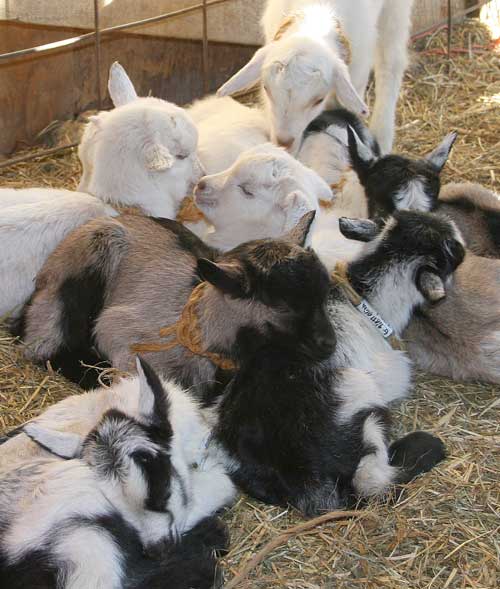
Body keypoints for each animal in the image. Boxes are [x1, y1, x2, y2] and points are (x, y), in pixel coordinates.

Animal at [216, 209, 464, 512]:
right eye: (454, 248)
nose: (451, 223)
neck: (368, 302)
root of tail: (301, 480)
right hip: (363, 399)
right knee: (372, 482)